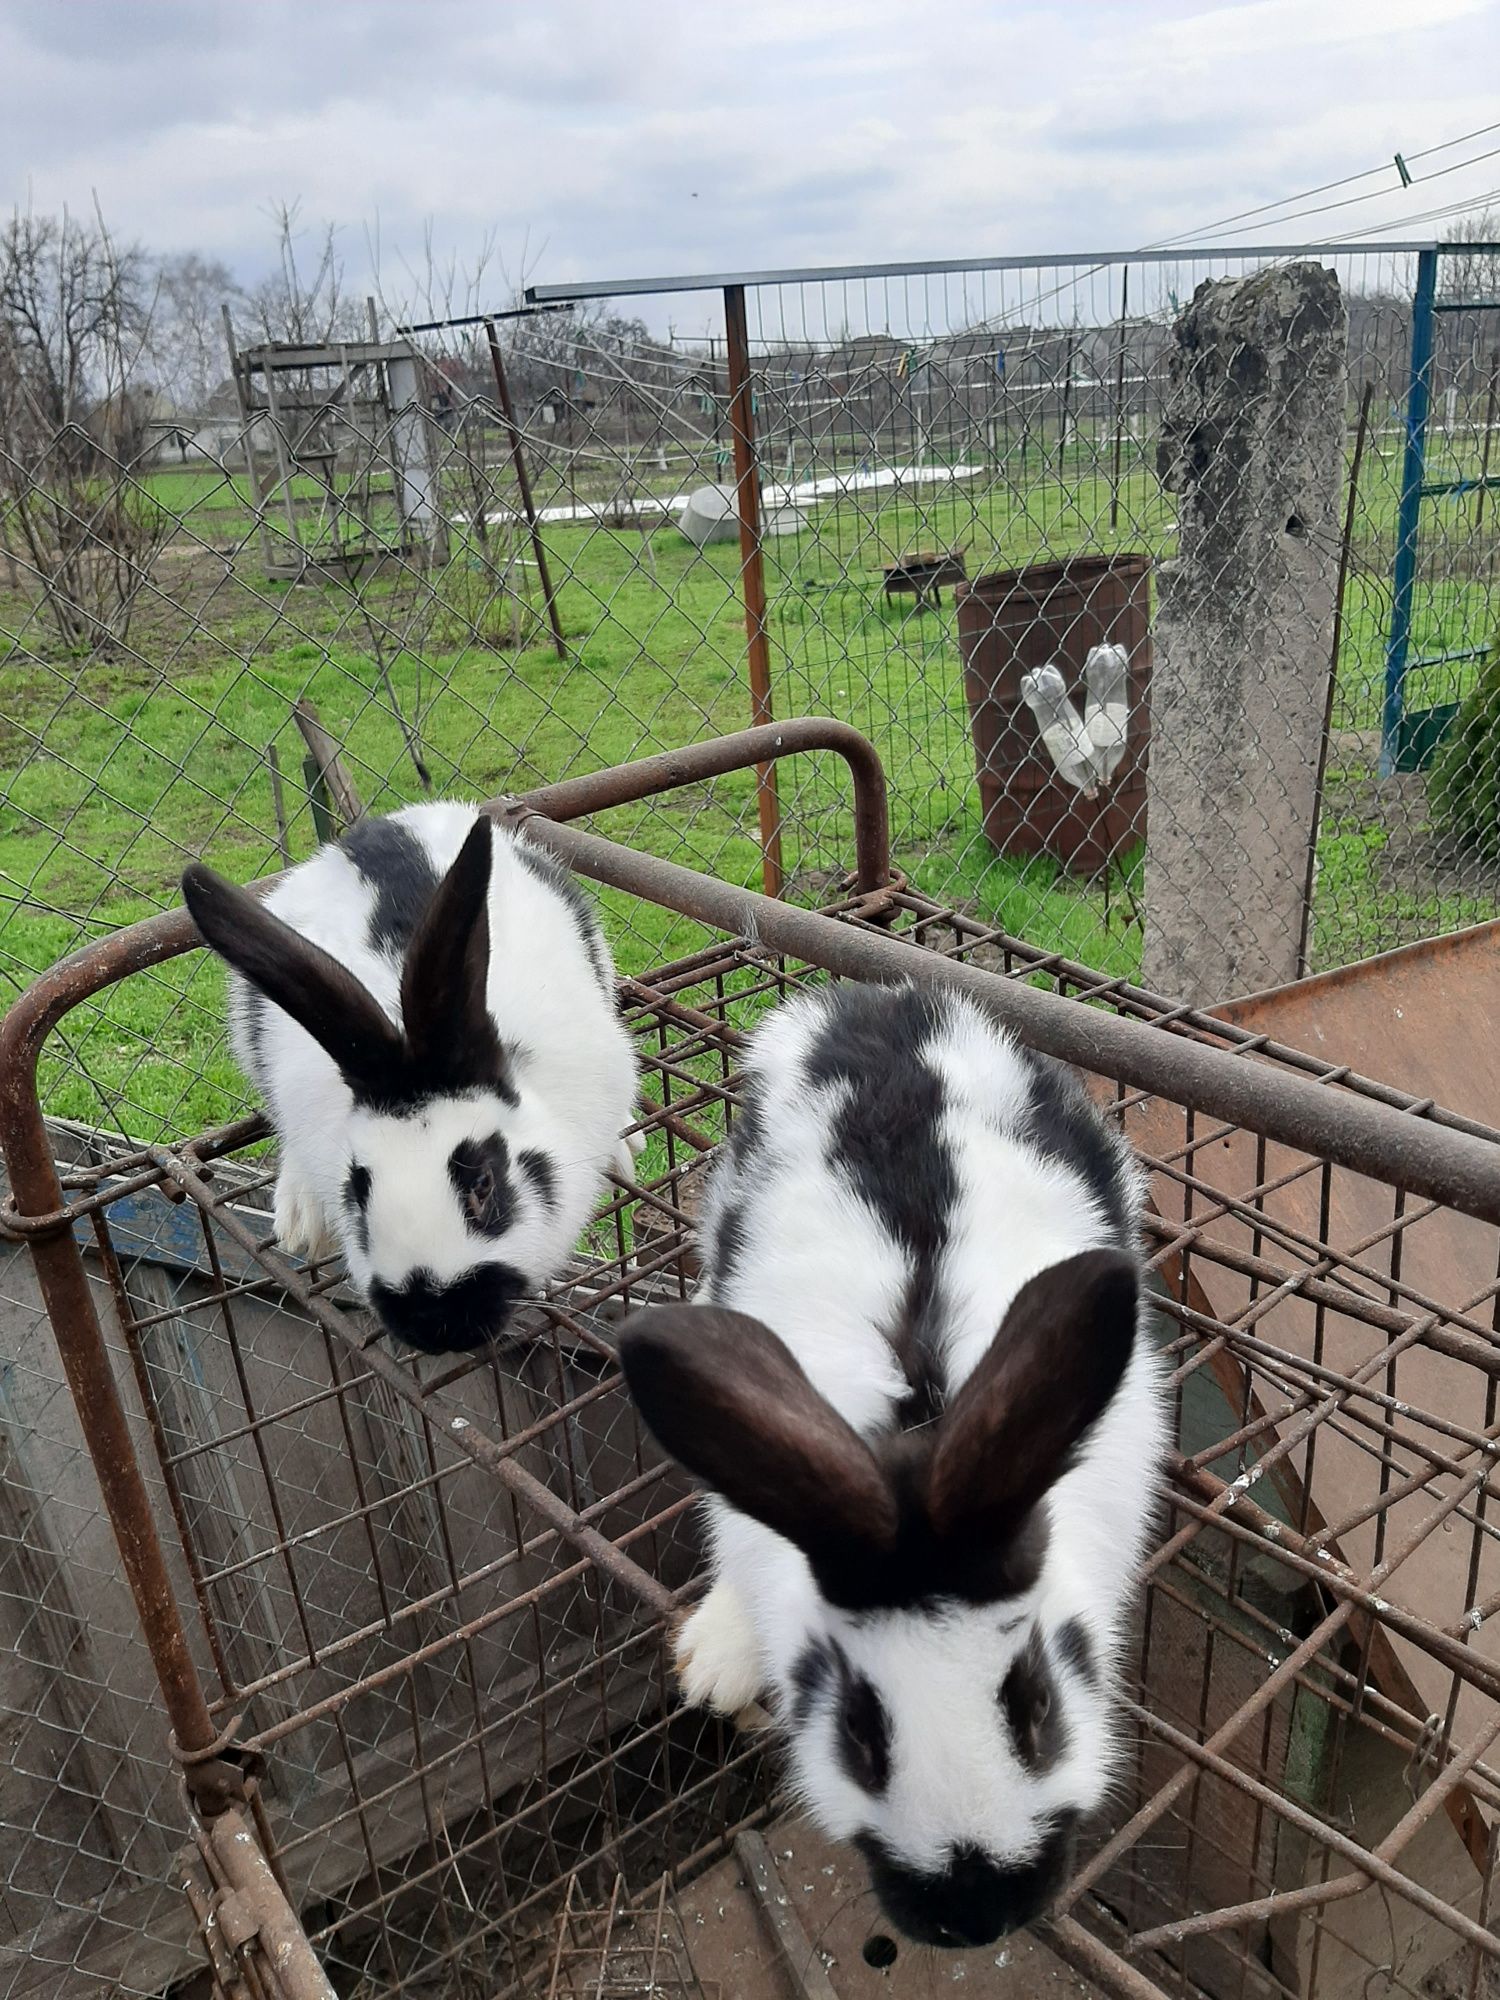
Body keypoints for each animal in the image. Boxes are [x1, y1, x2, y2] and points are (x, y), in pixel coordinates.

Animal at [616, 984, 1168, 1952]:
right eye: (858, 1731)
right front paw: (720, 1665)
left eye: (1036, 1706)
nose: (976, 1917)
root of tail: (881, 998)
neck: (924, 1411)